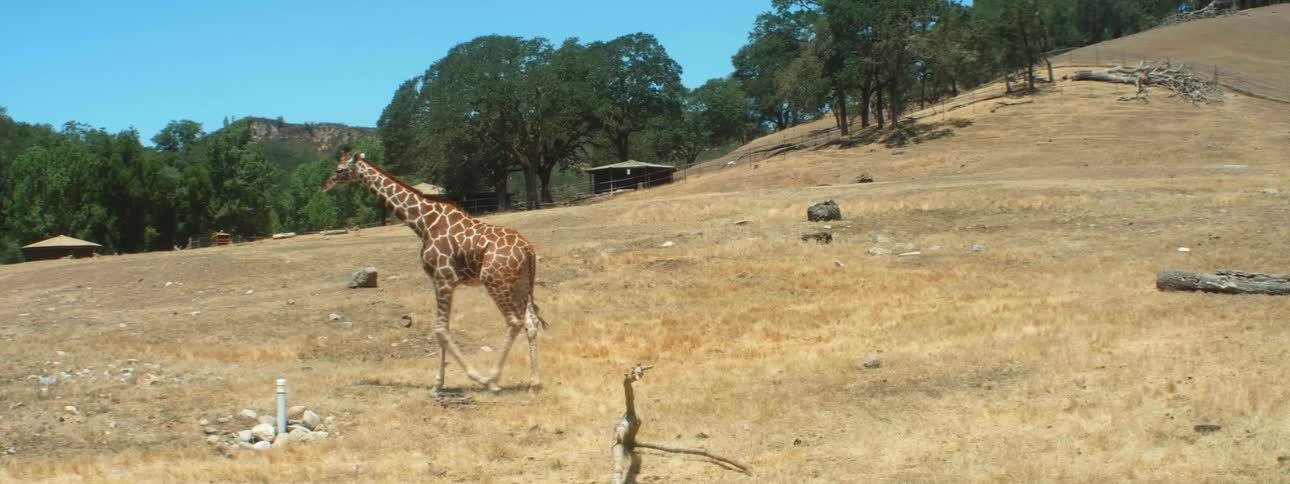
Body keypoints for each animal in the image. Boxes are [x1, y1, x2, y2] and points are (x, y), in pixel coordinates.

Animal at [324, 152, 546, 393]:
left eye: (339, 169)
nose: (327, 185)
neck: (423, 223)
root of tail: (528, 249)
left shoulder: (444, 278)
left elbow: (440, 329)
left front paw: (466, 378)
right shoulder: (442, 281)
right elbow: (443, 328)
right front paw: (438, 383)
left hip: (495, 281)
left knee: (514, 322)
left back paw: (492, 380)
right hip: (520, 283)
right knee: (531, 322)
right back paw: (534, 383)